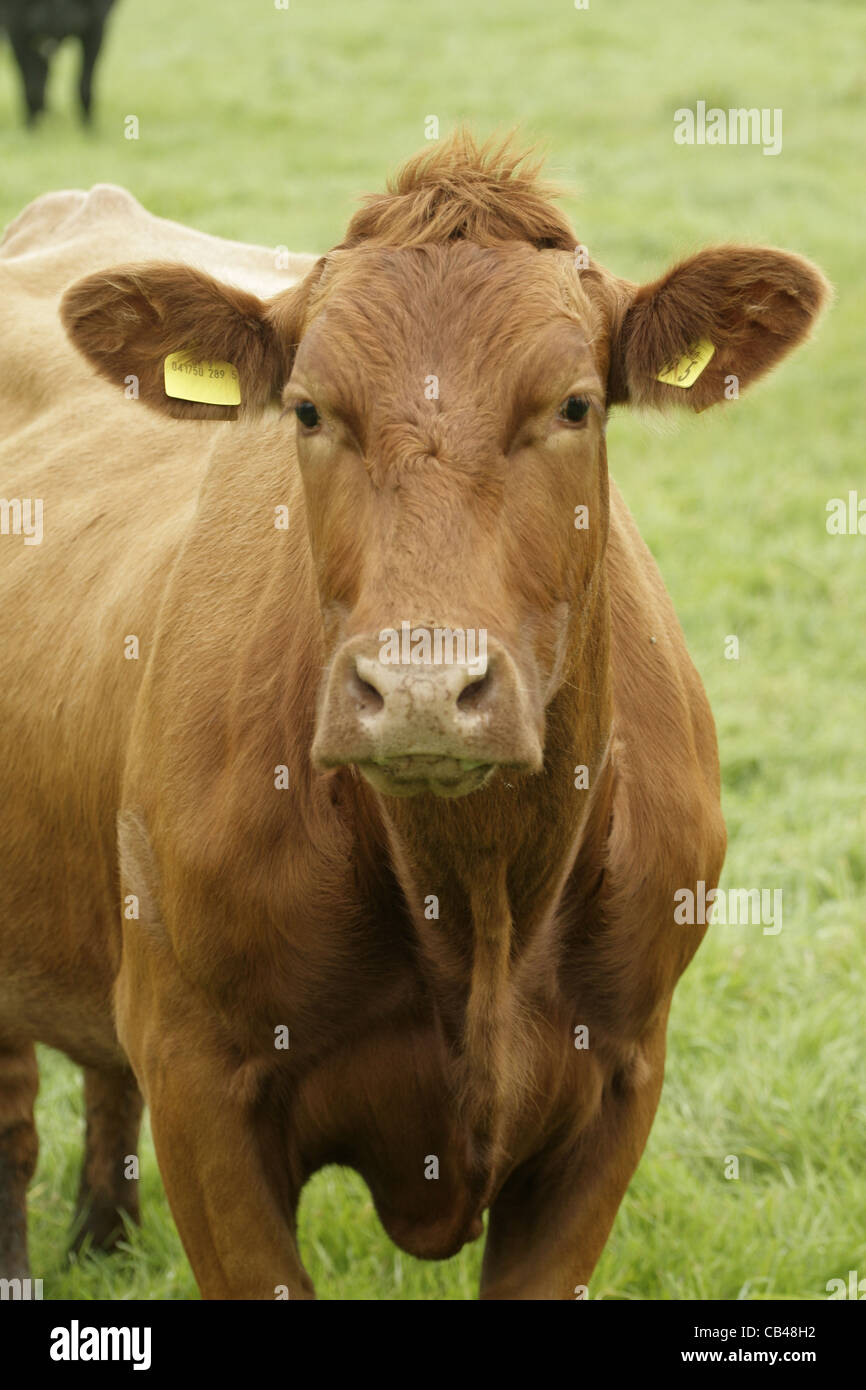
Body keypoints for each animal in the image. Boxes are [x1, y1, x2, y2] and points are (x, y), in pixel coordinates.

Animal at [0, 136, 828, 1299]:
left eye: (575, 405)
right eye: (307, 410)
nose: (424, 690)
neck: (478, 900)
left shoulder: (621, 1077)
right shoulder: (200, 1078)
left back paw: (105, 1239)